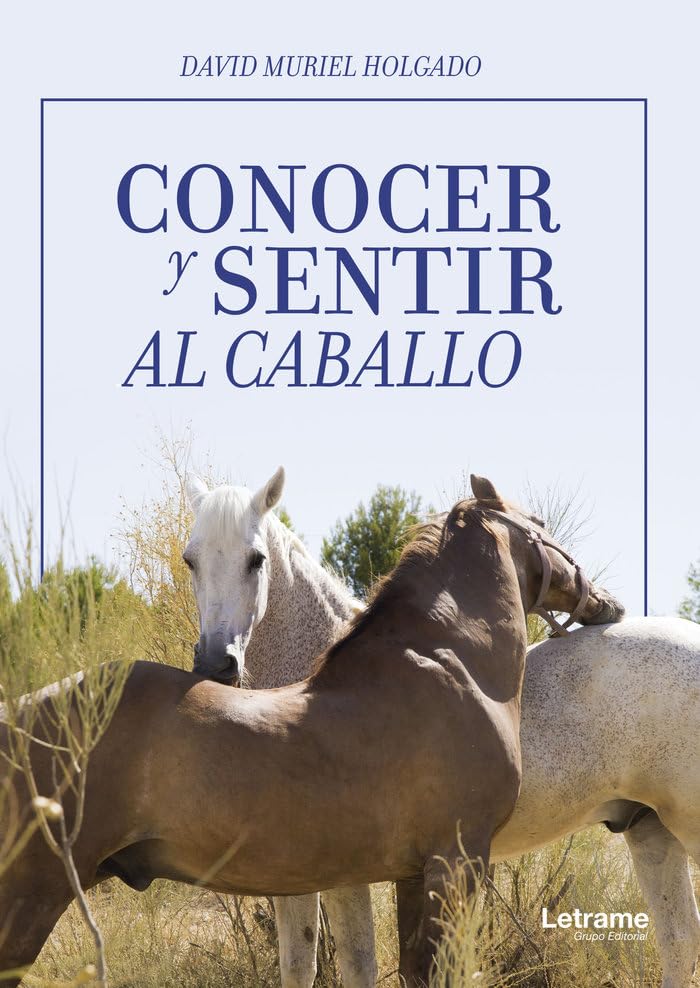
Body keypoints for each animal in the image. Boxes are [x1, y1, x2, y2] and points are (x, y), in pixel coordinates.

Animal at [0, 479, 619, 987]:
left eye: (256, 560)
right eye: (541, 522)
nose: (606, 602)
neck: (451, 661)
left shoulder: (412, 873)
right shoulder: (456, 863)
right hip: (31, 895)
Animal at [185, 470, 700, 988]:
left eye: (256, 559)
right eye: (191, 560)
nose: (215, 662)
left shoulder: (351, 877)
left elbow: (358, 964)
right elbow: (298, 965)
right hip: (649, 829)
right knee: (678, 939)